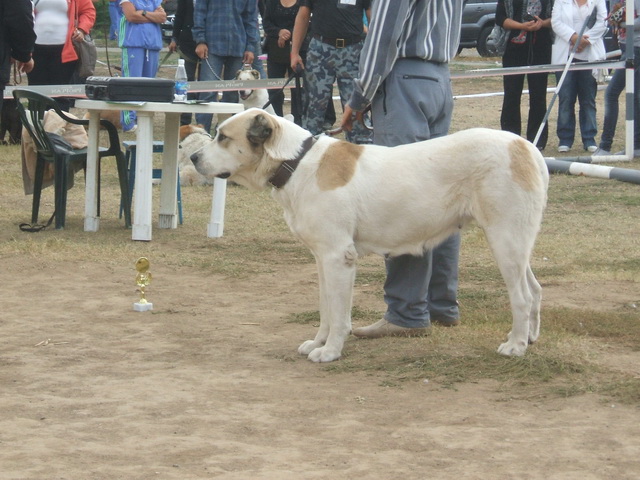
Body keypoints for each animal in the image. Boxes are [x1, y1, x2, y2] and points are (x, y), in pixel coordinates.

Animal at [190, 108, 549, 363]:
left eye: (223, 137)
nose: (193, 157)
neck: (297, 162)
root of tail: (524, 146)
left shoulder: (338, 258)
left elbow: (339, 314)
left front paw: (330, 351)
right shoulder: (322, 259)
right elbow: (326, 308)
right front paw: (317, 342)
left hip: (505, 240)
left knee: (522, 296)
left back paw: (515, 345)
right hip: (516, 243)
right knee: (535, 289)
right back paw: (531, 338)